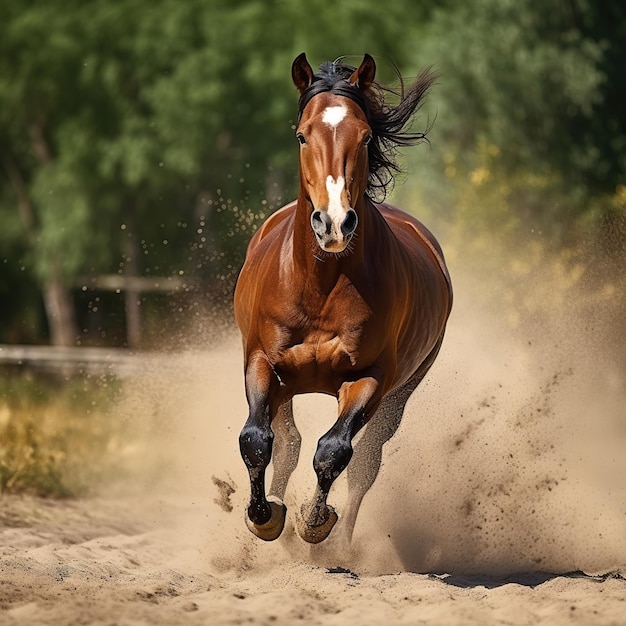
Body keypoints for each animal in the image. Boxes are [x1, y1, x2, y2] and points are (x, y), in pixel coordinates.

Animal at [233, 52, 448, 540]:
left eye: (365, 135)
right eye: (301, 134)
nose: (334, 223)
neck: (320, 286)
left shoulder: (370, 378)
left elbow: (333, 450)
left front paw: (316, 524)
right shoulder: (262, 360)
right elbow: (256, 440)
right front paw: (265, 517)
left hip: (400, 395)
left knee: (365, 462)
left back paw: (342, 541)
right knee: (287, 442)